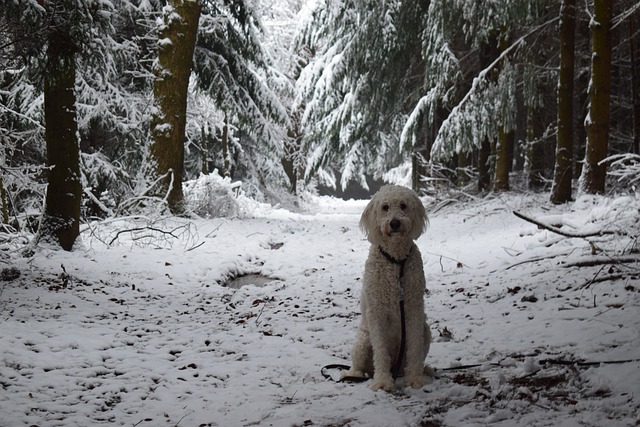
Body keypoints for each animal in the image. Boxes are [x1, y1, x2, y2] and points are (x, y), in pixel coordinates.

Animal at [342, 186, 432, 392]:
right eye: (385, 207)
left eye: (403, 205)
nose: (395, 223)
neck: (396, 262)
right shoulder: (377, 312)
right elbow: (381, 351)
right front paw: (383, 382)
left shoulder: (413, 308)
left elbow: (415, 347)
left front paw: (416, 378)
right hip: (363, 342)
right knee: (358, 366)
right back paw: (354, 374)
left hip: (426, 331)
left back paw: (424, 370)